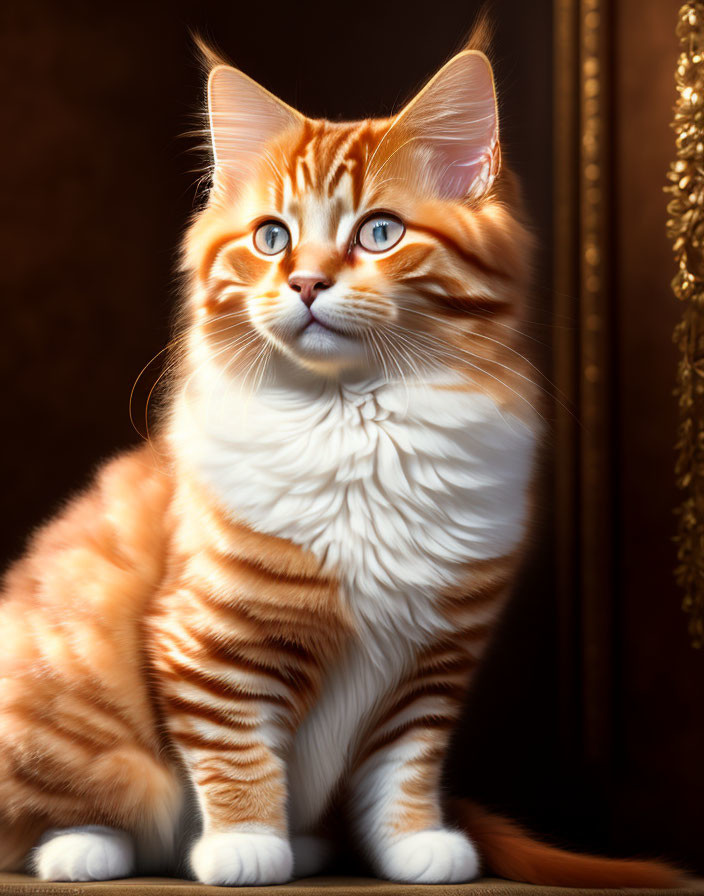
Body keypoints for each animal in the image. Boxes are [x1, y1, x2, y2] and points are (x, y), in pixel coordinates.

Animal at [0, 24, 680, 884]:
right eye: (272, 238)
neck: (361, 423)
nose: (307, 284)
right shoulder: (214, 641)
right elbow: (238, 755)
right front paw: (247, 846)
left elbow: (405, 766)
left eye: (379, 232)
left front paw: (415, 843)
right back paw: (85, 849)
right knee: (63, 811)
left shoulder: (433, 658)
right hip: (76, 686)